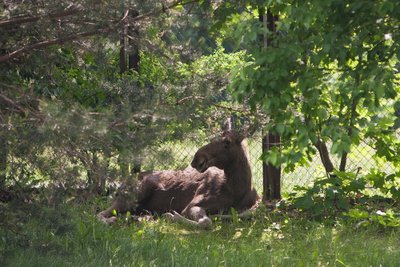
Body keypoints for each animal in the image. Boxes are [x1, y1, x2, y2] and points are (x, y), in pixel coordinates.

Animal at [97, 130, 260, 230]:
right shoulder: (191, 205)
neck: (236, 190)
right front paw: (171, 216)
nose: (196, 158)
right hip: (138, 191)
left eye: (227, 142)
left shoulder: (254, 204)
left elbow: (243, 214)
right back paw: (112, 220)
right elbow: (205, 222)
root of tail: (121, 185)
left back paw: (140, 218)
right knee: (101, 213)